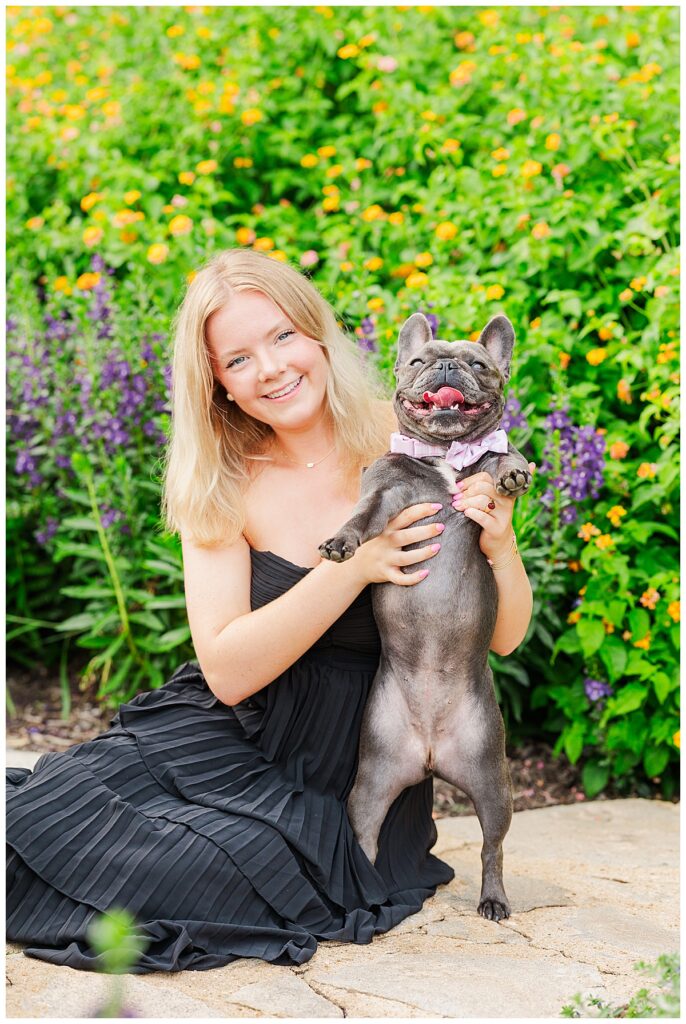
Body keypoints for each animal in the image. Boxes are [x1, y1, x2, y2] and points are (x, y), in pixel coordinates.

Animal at [321, 309, 532, 921]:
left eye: (479, 365)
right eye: (418, 360)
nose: (446, 366)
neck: (443, 455)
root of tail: (433, 758)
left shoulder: (485, 467)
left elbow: (500, 454)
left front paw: (512, 472)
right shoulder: (384, 491)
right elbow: (362, 516)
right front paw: (343, 542)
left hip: (493, 780)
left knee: (491, 848)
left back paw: (492, 900)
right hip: (370, 784)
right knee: (366, 838)